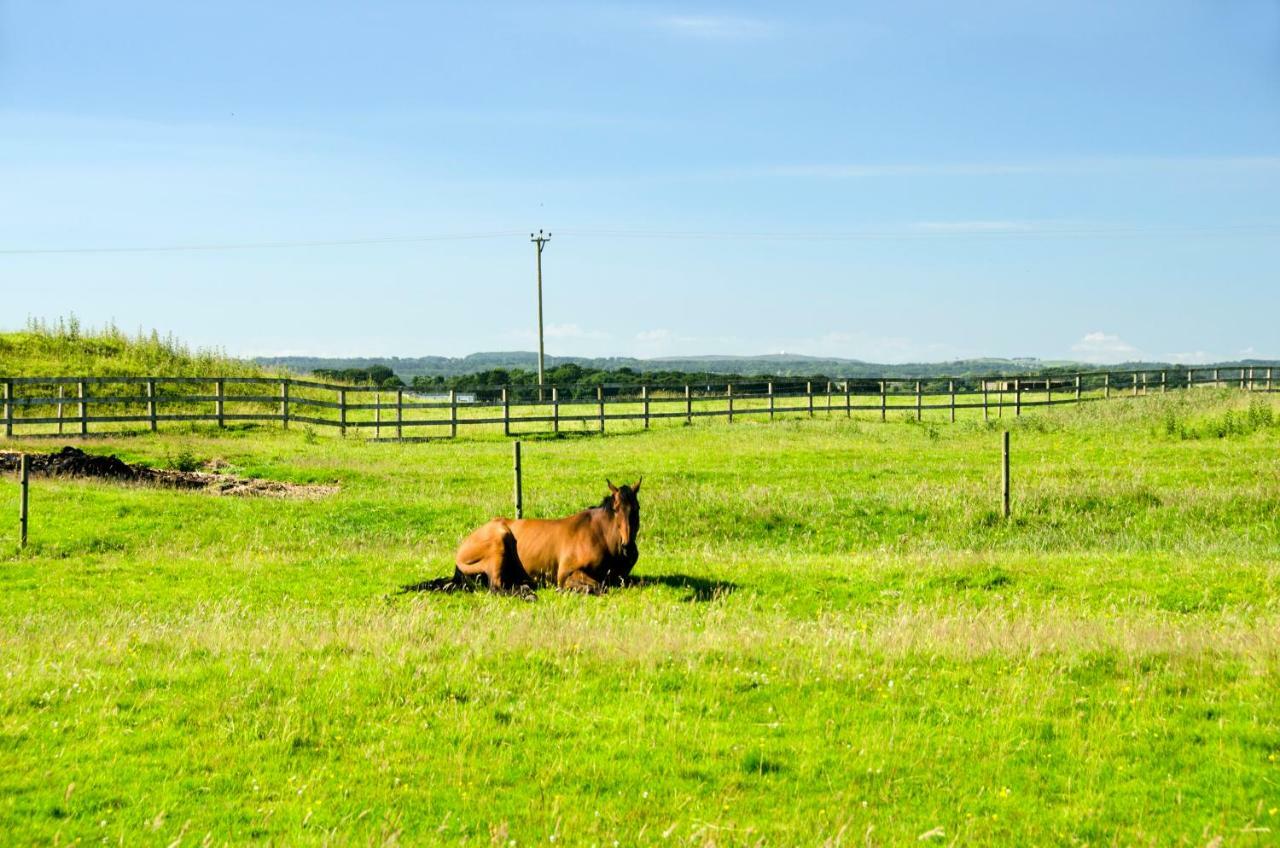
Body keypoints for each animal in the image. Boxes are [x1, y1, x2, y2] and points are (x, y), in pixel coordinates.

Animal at [455, 481, 645, 594]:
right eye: (616, 509)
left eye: (637, 508)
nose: (628, 547)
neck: (601, 536)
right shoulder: (566, 574)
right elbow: (600, 586)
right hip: (499, 541)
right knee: (497, 587)